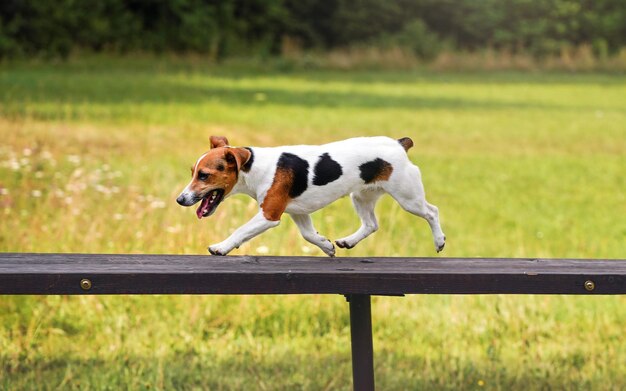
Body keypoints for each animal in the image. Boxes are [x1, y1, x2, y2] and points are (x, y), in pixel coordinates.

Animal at [177, 136, 444, 258]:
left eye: (204, 175)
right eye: (192, 172)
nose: (180, 200)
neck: (254, 167)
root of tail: (399, 144)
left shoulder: (269, 214)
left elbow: (240, 231)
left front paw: (221, 247)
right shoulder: (299, 212)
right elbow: (309, 235)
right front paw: (325, 245)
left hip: (408, 197)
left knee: (432, 212)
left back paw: (439, 241)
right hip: (361, 197)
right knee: (371, 224)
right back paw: (348, 241)